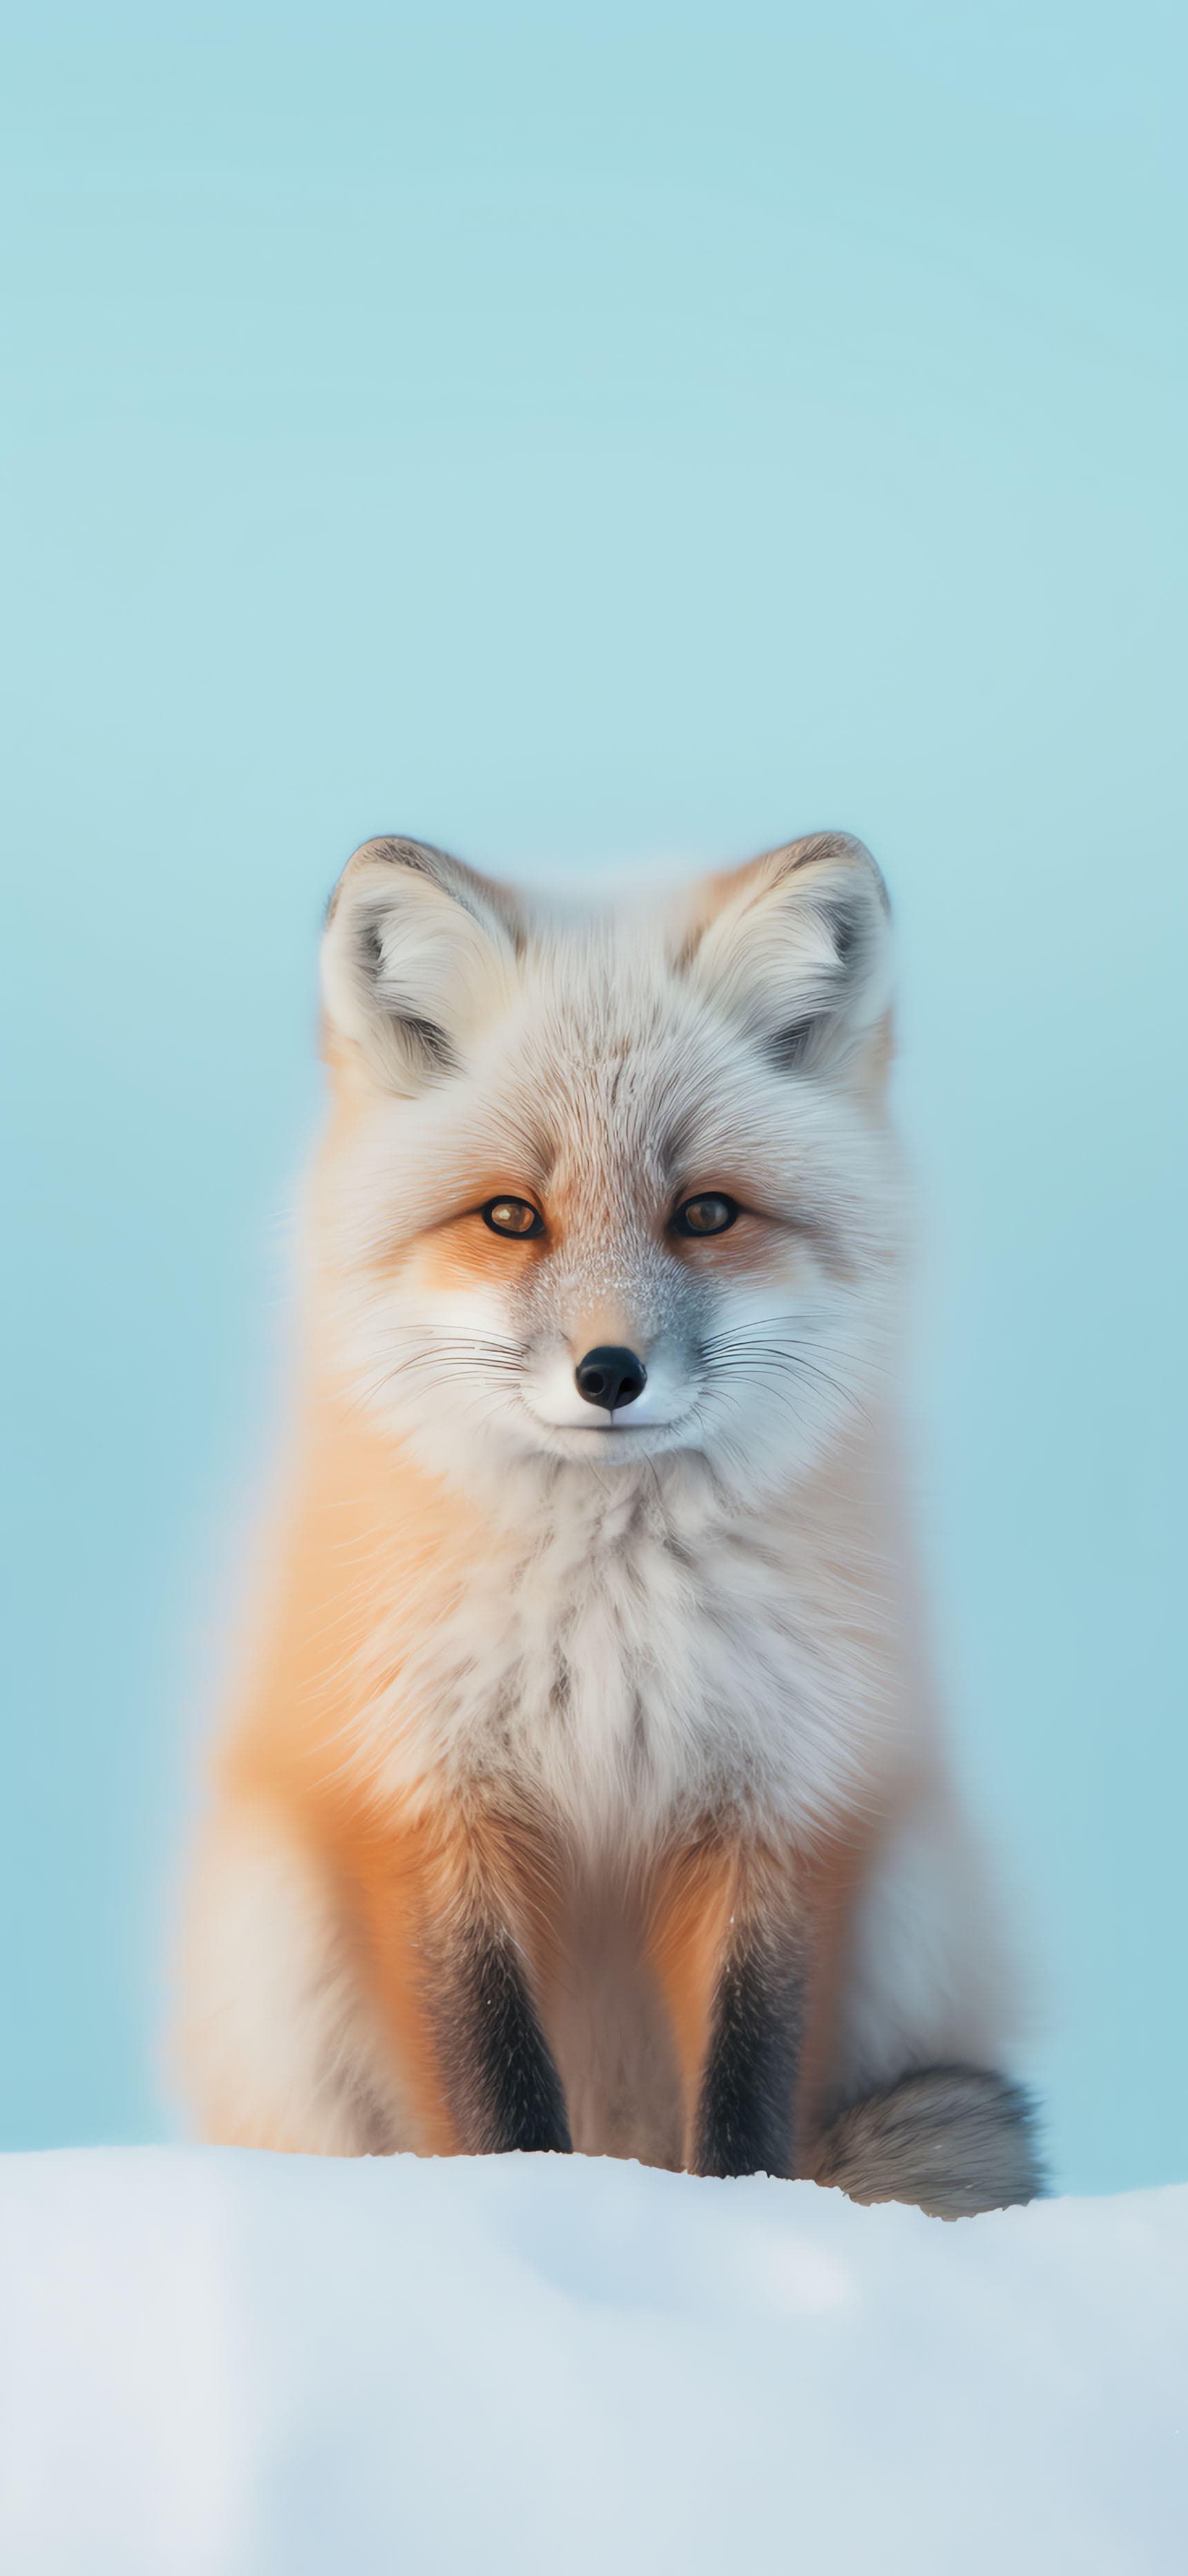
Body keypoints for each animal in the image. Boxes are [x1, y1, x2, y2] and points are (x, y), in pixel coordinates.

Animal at [175, 829, 1040, 2214]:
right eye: (511, 1215)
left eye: (707, 1212)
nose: (610, 1374)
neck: (613, 1623)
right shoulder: (425, 1805)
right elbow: (495, 2087)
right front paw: (540, 2217)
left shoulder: (780, 1806)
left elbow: (746, 2089)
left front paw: (739, 2224)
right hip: (280, 1940)